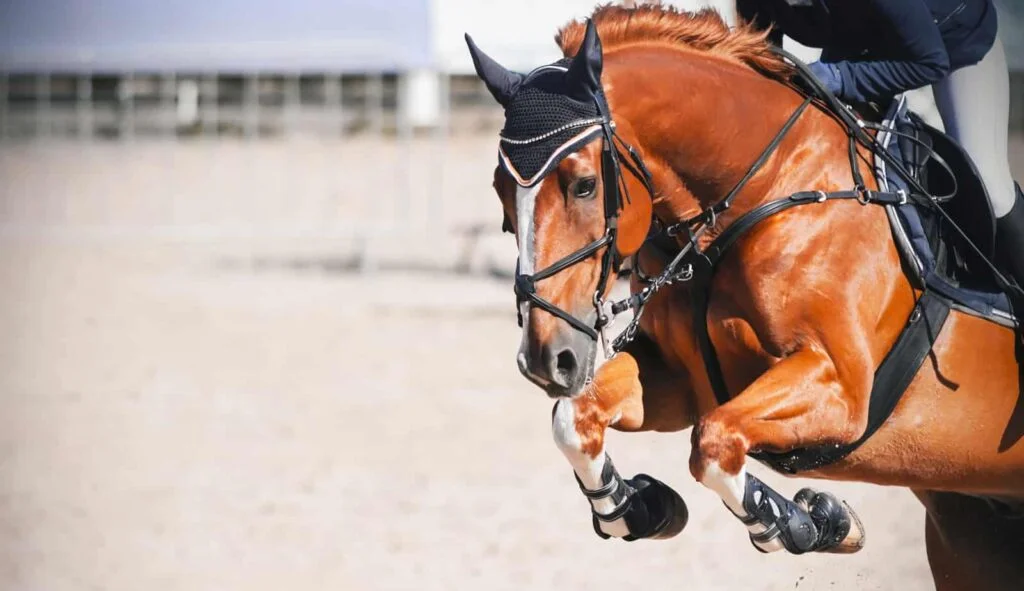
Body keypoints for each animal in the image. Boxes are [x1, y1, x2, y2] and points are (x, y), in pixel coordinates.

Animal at [465, 5, 1024, 590]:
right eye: (501, 192)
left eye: (584, 185)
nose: (546, 359)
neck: (760, 188)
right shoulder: (680, 378)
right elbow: (575, 419)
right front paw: (637, 508)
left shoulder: (840, 388)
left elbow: (714, 442)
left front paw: (812, 521)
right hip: (969, 534)